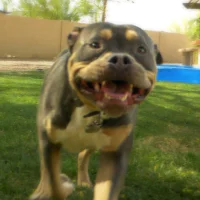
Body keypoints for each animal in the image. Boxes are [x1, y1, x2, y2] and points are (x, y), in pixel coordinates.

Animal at [29, 22, 161, 200]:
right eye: (94, 44)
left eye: (141, 49)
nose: (121, 59)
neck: (90, 107)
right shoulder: (49, 142)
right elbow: (54, 184)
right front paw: (57, 187)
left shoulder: (115, 154)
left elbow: (106, 192)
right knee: (46, 169)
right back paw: (41, 190)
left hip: (94, 141)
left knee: (82, 155)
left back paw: (83, 181)